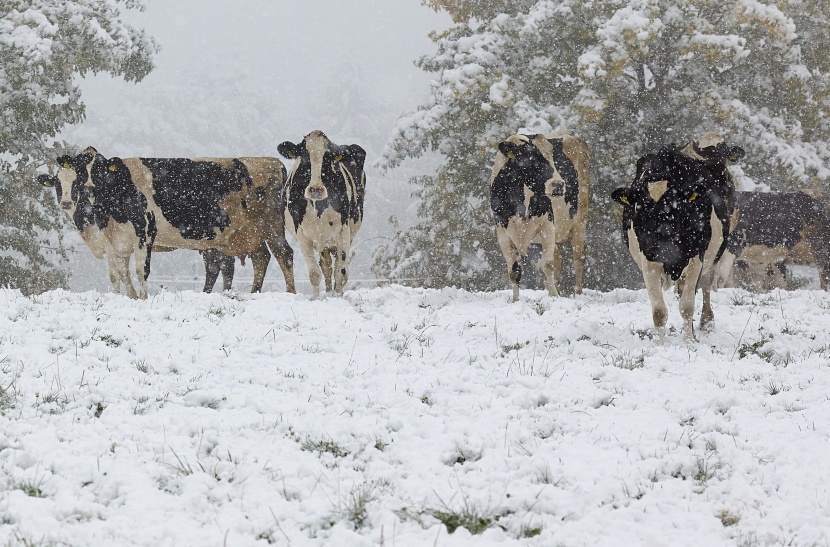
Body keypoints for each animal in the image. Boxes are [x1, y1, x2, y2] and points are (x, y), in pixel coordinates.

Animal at [41, 148, 300, 298]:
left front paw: (142, 299)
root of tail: (272, 162)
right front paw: (125, 298)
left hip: (271, 226)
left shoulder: (144, 235)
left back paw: (290, 293)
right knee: (259, 258)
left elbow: (139, 271)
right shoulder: (116, 243)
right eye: (60, 182)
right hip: (247, 233)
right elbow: (119, 274)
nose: (66, 203)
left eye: (95, 171)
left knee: (283, 254)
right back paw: (254, 294)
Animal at [278, 130, 366, 298]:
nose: (316, 189)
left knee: (336, 265)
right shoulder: (302, 235)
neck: (318, 207)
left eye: (328, 157)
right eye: (304, 156)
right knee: (325, 266)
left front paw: (338, 297)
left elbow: (342, 272)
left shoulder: (343, 232)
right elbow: (314, 273)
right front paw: (315, 298)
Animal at [494, 134, 592, 304]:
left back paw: (577, 293)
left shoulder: (547, 226)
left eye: (553, 159)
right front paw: (515, 300)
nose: (558, 185)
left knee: (578, 256)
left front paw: (554, 297)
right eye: (532, 159)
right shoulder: (503, 233)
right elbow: (514, 271)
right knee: (558, 260)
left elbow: (547, 265)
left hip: (580, 219)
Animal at [612, 138, 740, 338]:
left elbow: (687, 306)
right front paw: (660, 343)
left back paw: (706, 322)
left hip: (711, 256)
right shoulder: (648, 262)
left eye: (673, 208)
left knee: (705, 285)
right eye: (638, 210)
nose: (654, 248)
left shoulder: (696, 258)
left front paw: (689, 340)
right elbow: (659, 312)